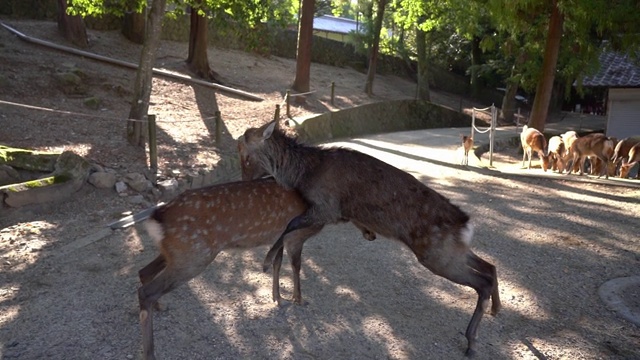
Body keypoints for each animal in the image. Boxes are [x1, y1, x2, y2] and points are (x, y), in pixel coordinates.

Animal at [138, 180, 324, 360]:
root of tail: (157, 219)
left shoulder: (279, 237)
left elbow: (277, 263)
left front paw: (277, 298)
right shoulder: (295, 236)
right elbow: (296, 265)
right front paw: (299, 299)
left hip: (178, 254)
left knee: (144, 272)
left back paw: (160, 306)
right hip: (193, 256)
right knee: (146, 291)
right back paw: (150, 353)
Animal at [239, 120, 500, 354]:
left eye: (245, 155)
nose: (244, 182)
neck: (304, 174)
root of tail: (465, 224)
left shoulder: (326, 207)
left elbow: (289, 225)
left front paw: (265, 262)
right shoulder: (335, 214)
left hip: (436, 256)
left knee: (482, 282)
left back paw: (472, 342)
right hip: (452, 251)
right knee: (490, 266)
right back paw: (495, 310)